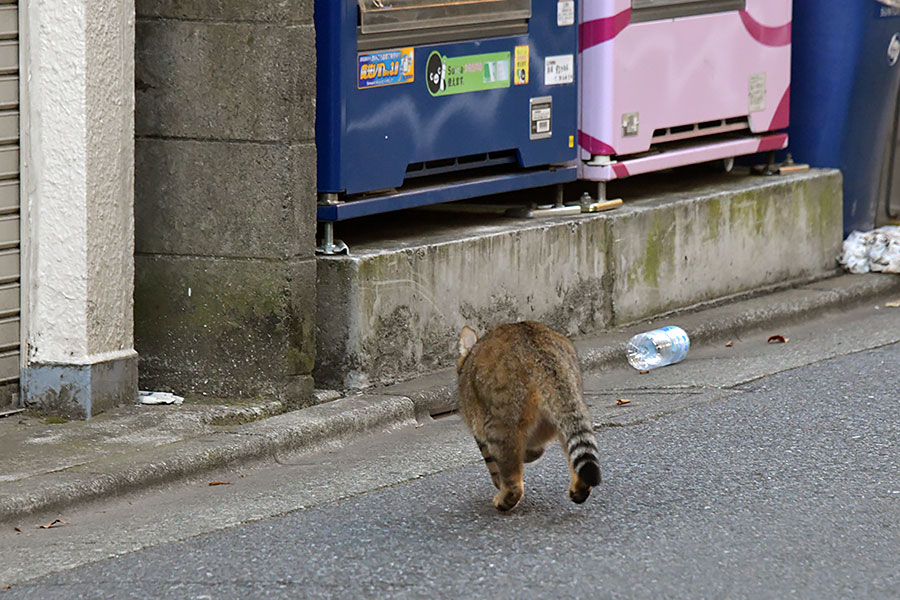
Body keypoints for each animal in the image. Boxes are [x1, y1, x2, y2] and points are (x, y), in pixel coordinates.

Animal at [460, 322, 600, 512]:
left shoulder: (479, 431)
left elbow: (492, 464)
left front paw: (499, 480)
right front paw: (530, 454)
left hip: (500, 422)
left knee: (512, 479)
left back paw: (505, 499)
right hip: (567, 411)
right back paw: (579, 488)